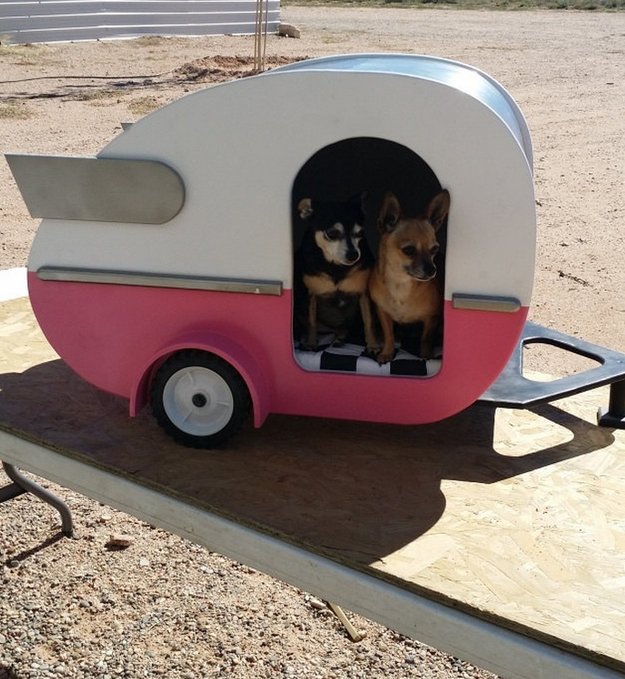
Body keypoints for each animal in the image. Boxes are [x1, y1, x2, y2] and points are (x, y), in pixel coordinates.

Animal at [292, 189, 448, 364]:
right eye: (409, 250)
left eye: (435, 249)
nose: (432, 270)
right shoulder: (381, 312)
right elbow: (388, 335)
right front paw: (386, 353)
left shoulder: (431, 318)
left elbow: (425, 338)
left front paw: (426, 356)